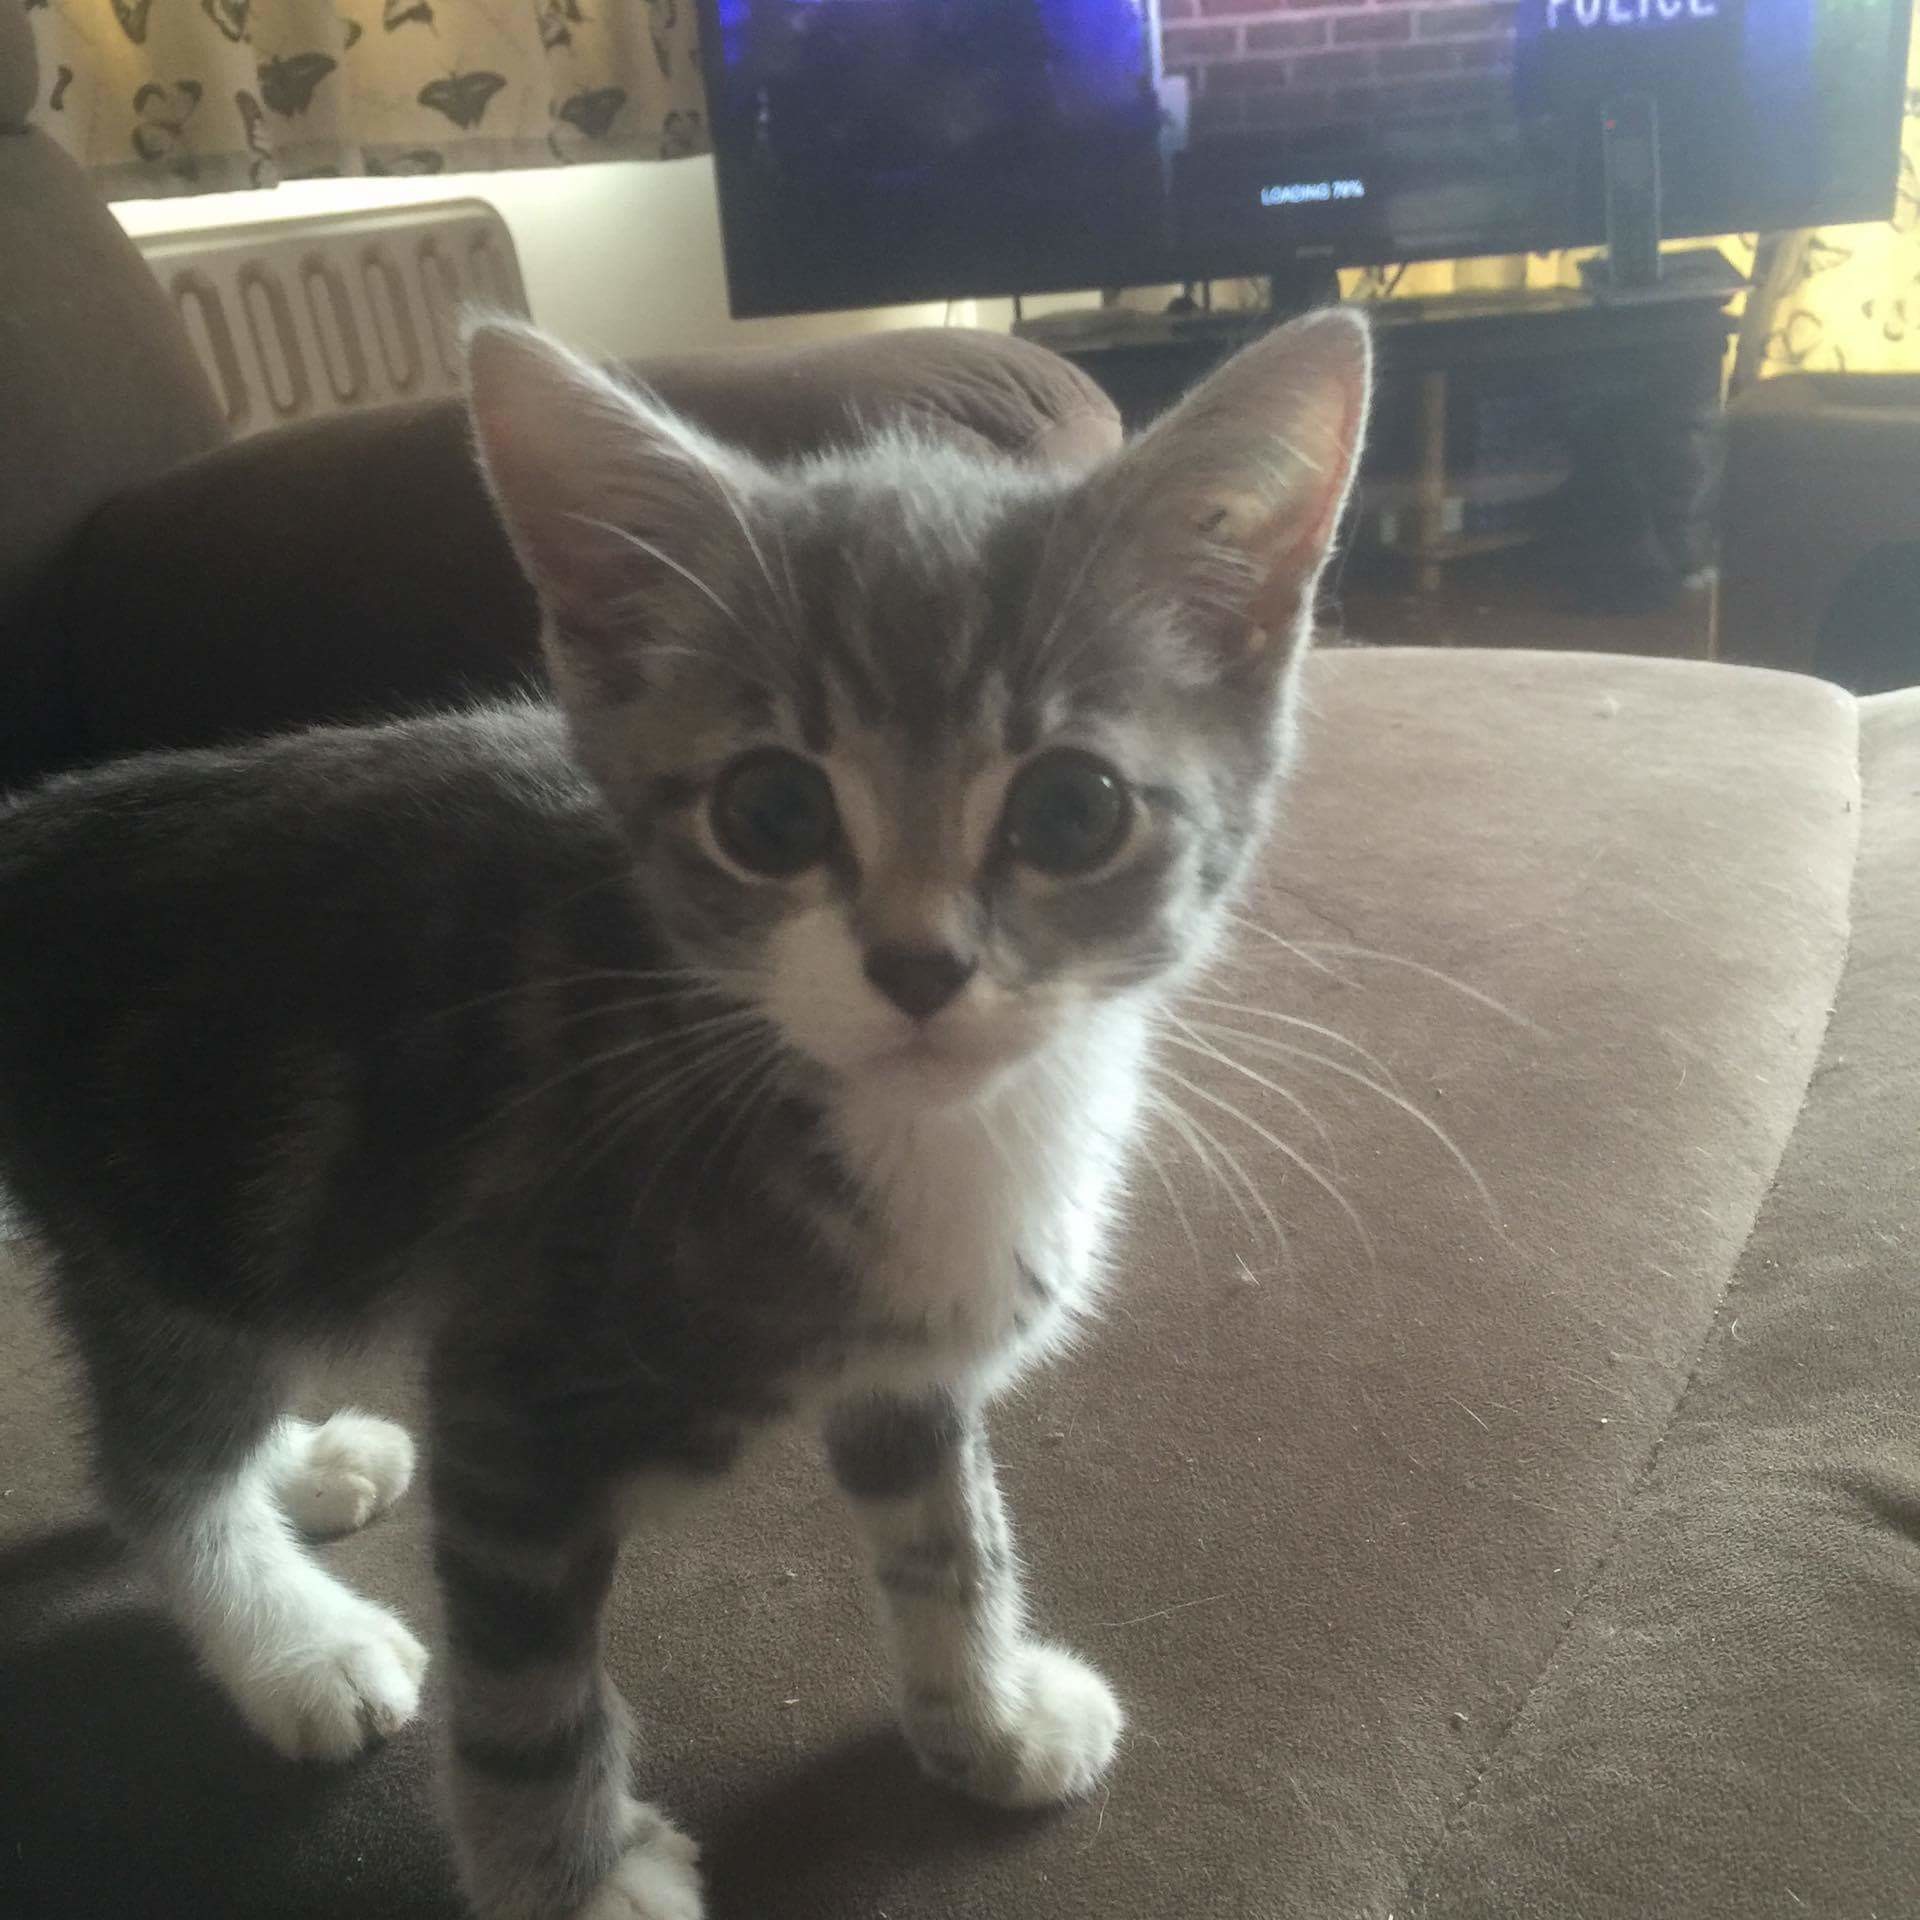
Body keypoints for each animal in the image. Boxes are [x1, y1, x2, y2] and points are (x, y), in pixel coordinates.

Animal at [0, 307, 1368, 1920]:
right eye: (771, 813)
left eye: (1075, 809)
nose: (918, 966)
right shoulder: (513, 1399)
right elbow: (528, 1700)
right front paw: (574, 1881)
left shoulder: (909, 1364)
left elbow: (949, 1540)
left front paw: (983, 1719)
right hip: (181, 1181)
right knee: (154, 1456)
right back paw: (294, 1638)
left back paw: (311, 1461)